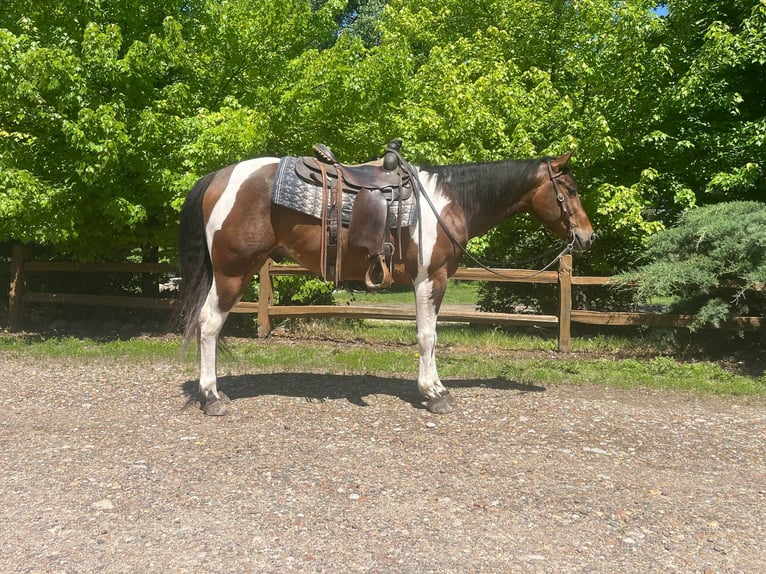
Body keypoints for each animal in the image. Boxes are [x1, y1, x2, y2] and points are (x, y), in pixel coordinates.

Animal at [177, 147, 595, 416]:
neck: (446, 203)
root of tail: (219, 177)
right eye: (571, 191)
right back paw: (212, 397)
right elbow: (428, 336)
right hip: (233, 272)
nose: (589, 237)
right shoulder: (430, 279)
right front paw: (435, 393)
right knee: (209, 325)